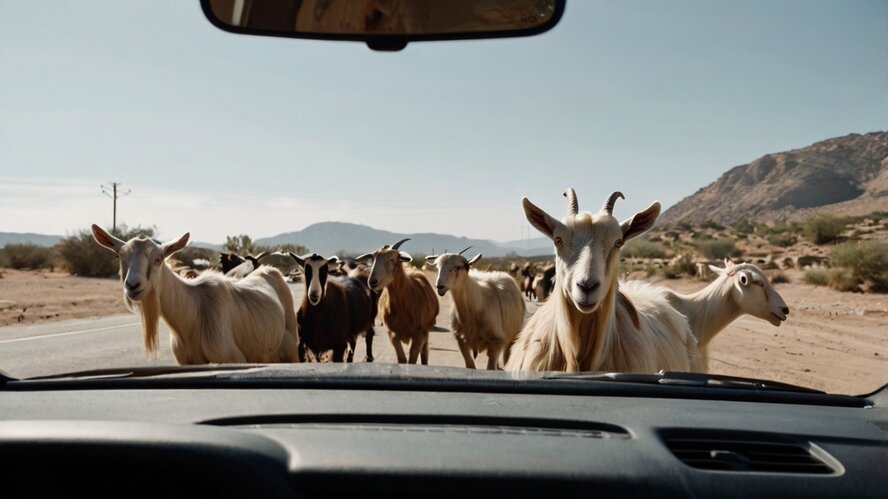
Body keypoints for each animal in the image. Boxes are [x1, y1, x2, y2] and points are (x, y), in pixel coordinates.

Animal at [90, 226, 300, 364]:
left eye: (158, 259)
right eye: (119, 256)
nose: (133, 286)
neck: (192, 315)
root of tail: (269, 271)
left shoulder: (232, 358)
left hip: (291, 349)